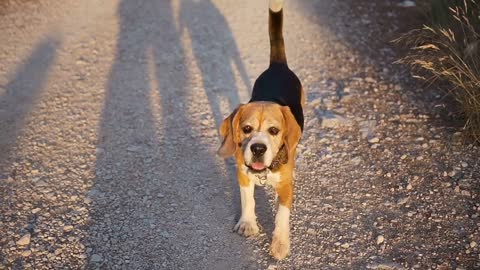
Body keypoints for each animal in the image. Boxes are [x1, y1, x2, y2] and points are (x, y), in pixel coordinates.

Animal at [218, 0, 304, 260]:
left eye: (274, 131)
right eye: (246, 128)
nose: (257, 148)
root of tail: (278, 65)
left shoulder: (285, 187)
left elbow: (282, 215)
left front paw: (280, 243)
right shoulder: (243, 173)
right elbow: (248, 201)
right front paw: (248, 223)